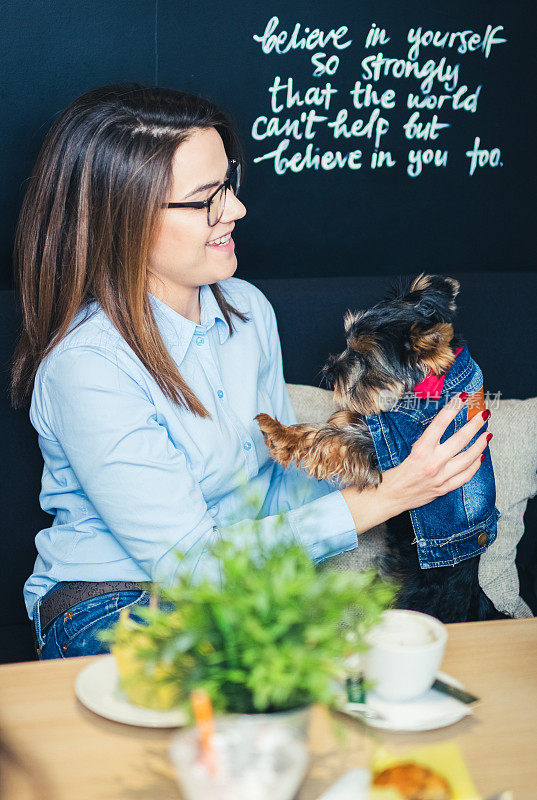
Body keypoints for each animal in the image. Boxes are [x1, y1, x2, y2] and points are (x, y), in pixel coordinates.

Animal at [258, 276, 504, 624]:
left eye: (363, 359)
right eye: (347, 344)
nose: (329, 369)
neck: (427, 388)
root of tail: (470, 600)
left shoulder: (386, 449)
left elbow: (330, 437)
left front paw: (280, 432)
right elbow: (351, 421)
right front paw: (344, 414)